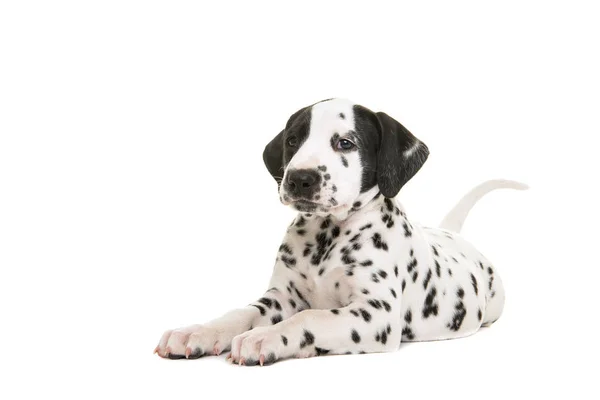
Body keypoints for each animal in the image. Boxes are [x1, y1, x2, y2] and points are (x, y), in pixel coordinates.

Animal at [155, 97, 524, 366]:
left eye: (346, 143)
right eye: (292, 141)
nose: (299, 178)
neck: (327, 236)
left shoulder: (376, 313)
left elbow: (309, 318)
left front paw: (264, 337)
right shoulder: (280, 296)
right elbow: (241, 313)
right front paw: (198, 332)